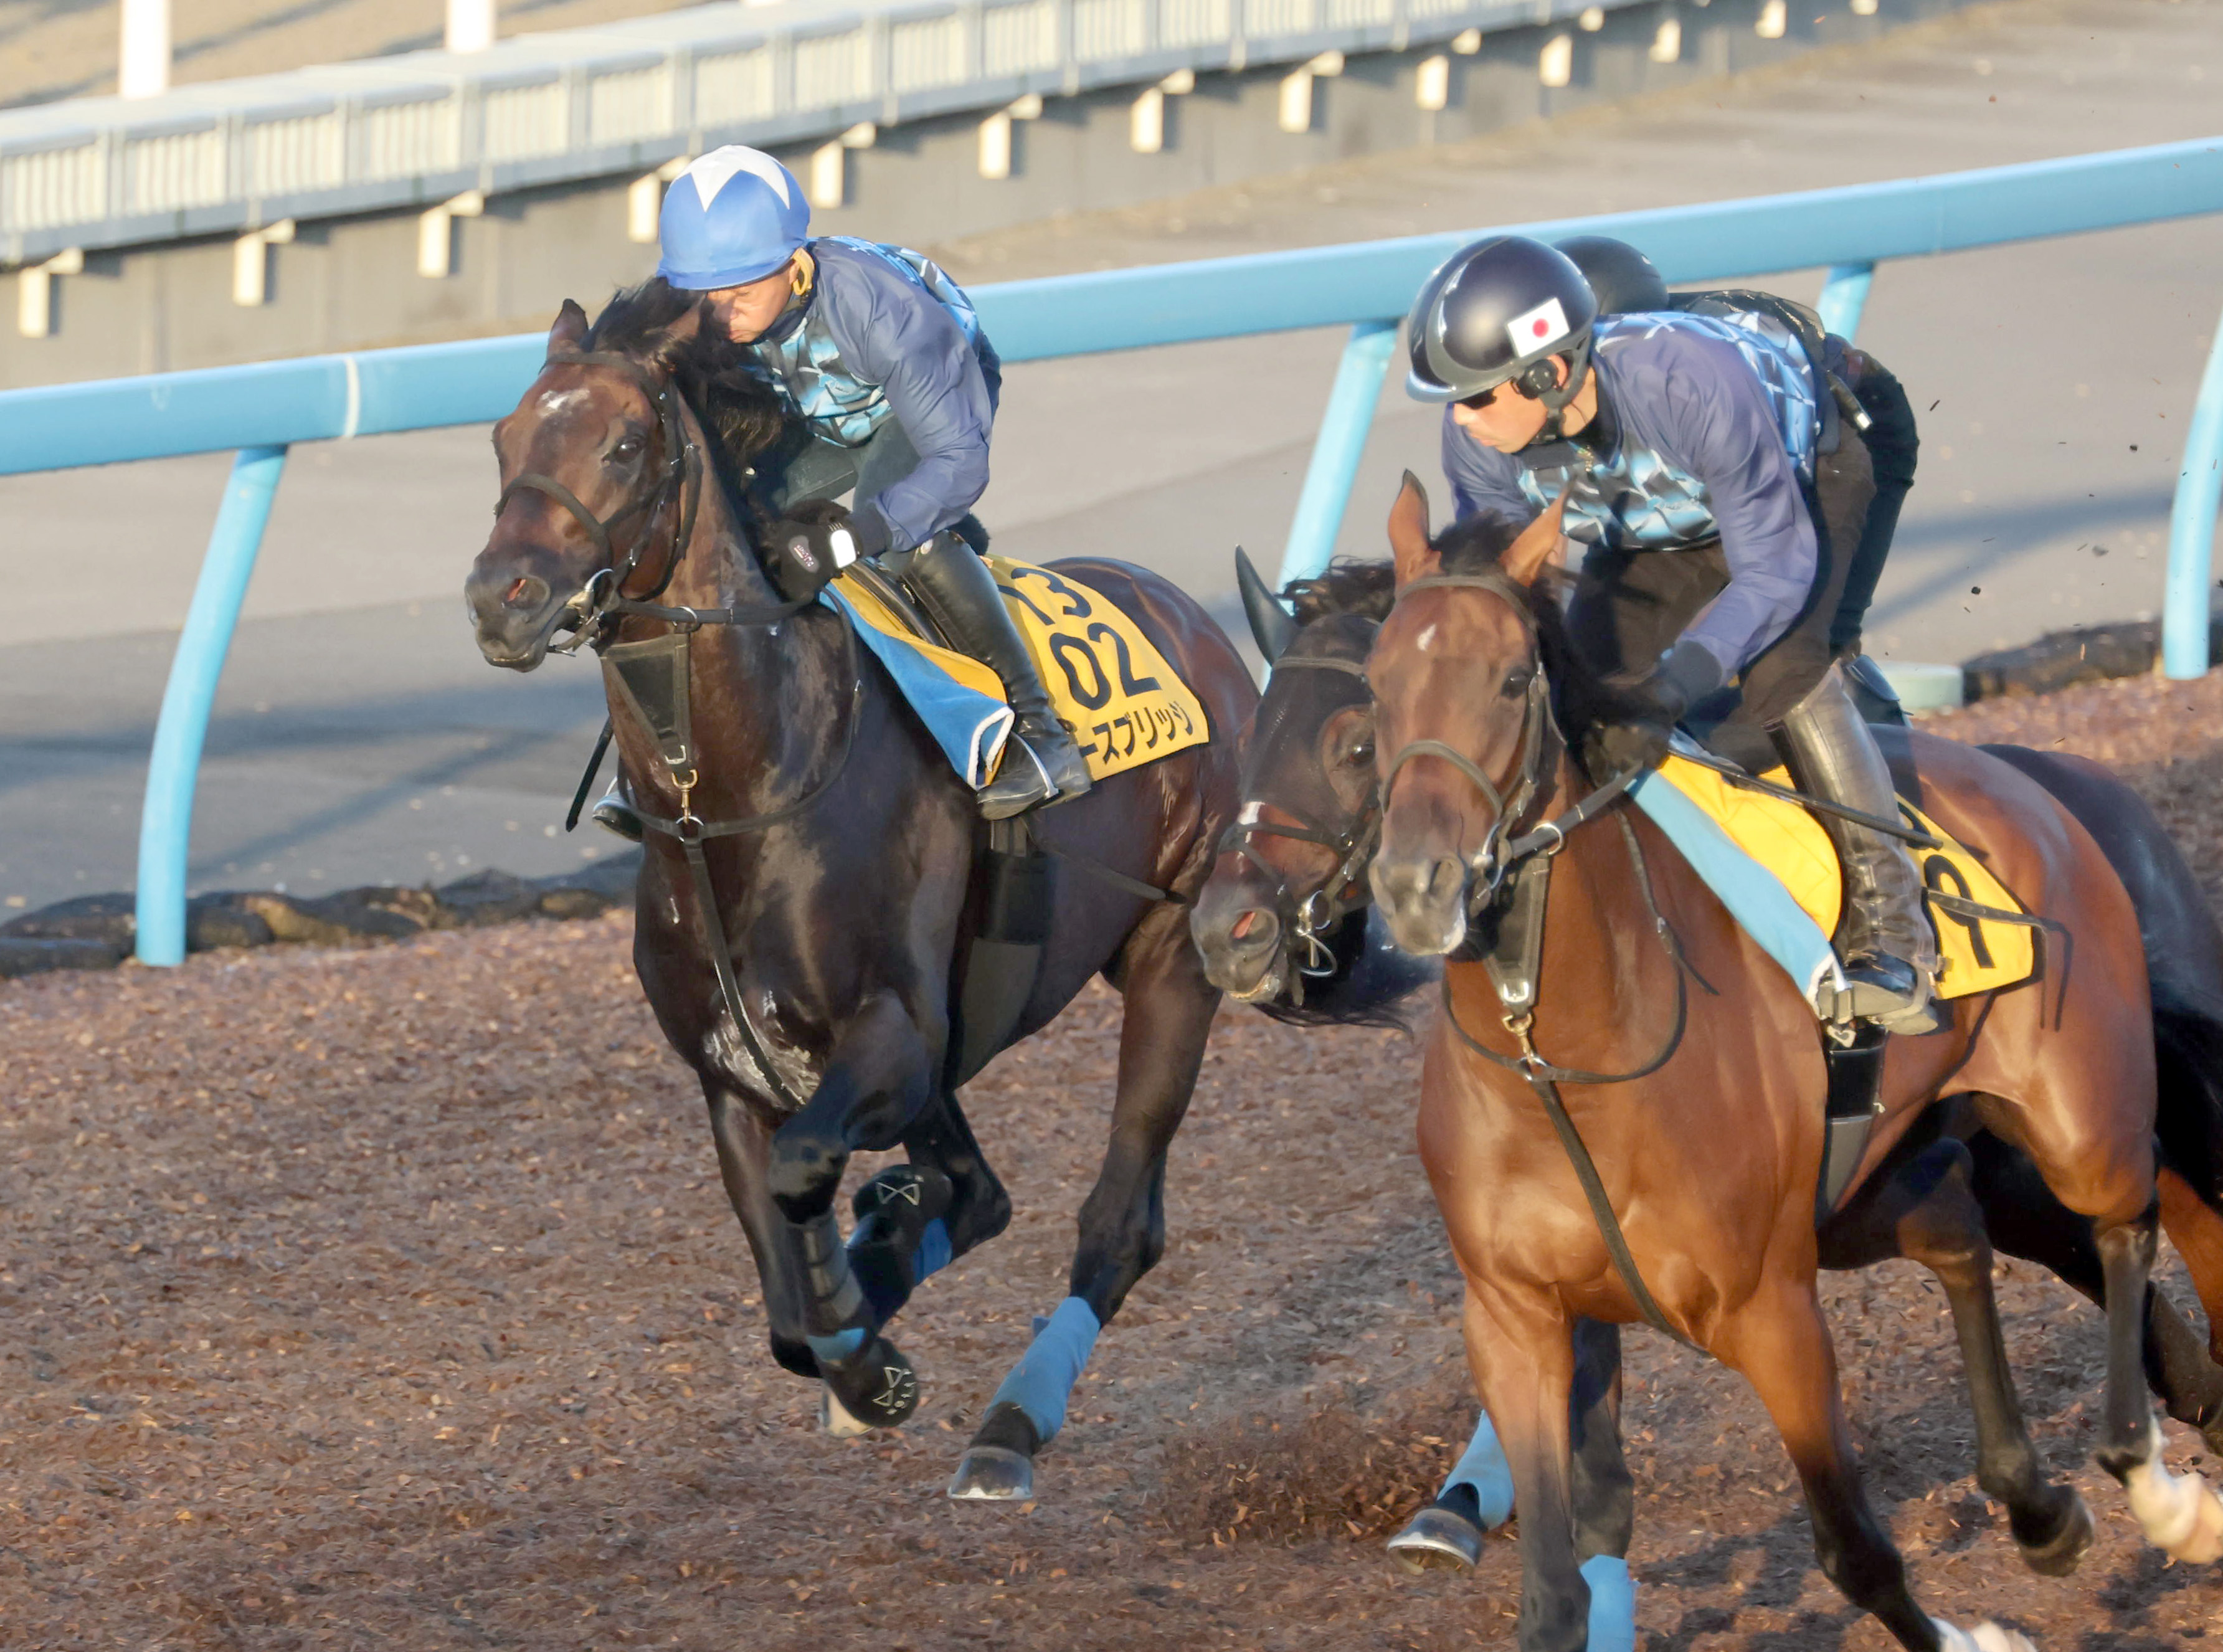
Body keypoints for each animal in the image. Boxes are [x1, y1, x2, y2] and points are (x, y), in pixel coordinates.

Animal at [460, 284, 1263, 1502]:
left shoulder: (889, 1034)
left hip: (1173, 959)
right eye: (504, 440)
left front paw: (868, 1343)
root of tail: (1192, 621)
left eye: (623, 442)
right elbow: (786, 1305)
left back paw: (1008, 1426)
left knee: (1118, 1224)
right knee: (980, 1191)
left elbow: (809, 1189)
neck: (733, 803)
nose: (500, 600)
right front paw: (863, 1313)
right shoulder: (735, 1081)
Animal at [1200, 549, 2223, 1610]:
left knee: (2130, 1217)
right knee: (1979, 1229)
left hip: (2076, 1122)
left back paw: (2153, 1476)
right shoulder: (1541, 1281)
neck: (1563, 1052)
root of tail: (2050, 785)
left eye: (1355, 745)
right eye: (1250, 734)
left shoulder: (1765, 1288)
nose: (1226, 927)